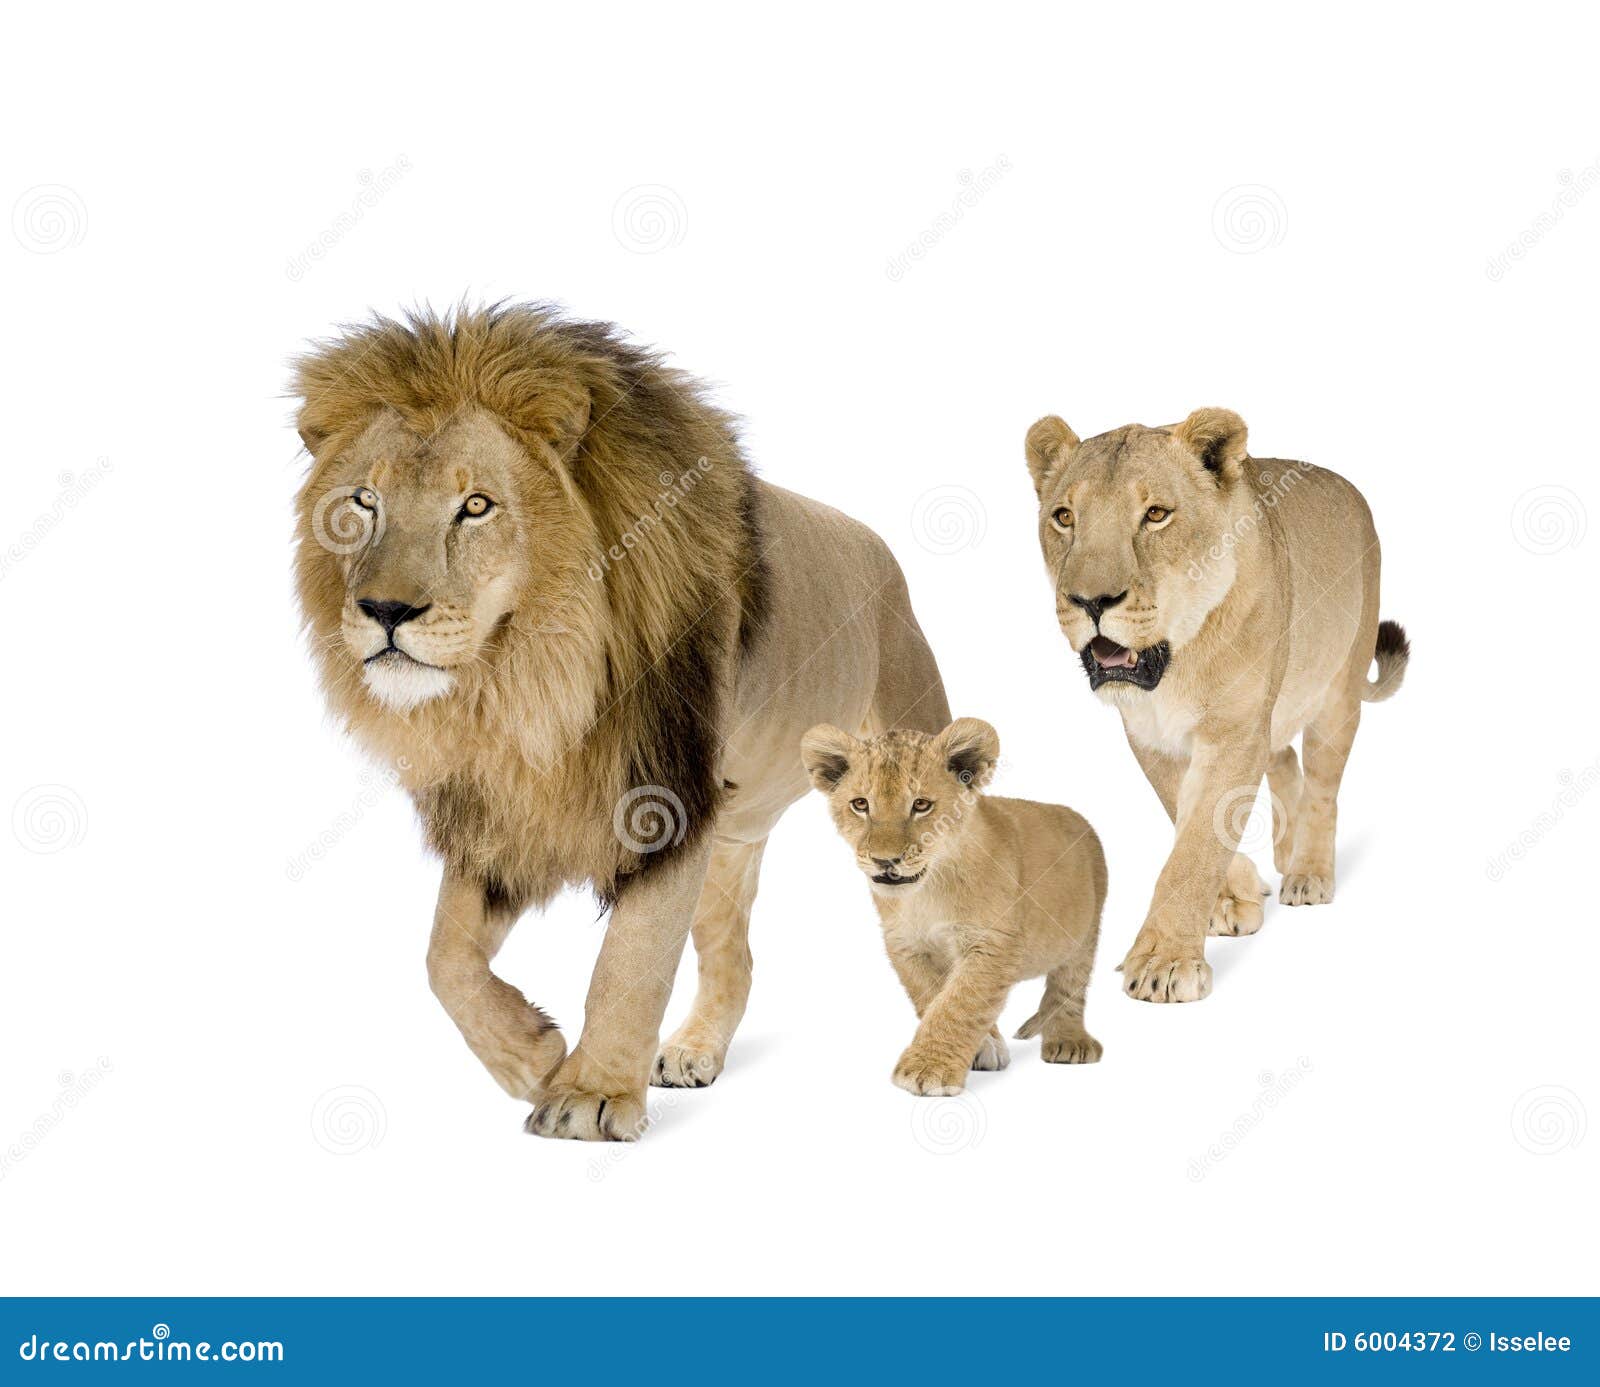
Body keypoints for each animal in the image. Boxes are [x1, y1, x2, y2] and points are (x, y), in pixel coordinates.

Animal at [292, 303, 949, 1140]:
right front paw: (532, 1056)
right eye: (363, 502)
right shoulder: (501, 811)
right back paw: (695, 1050)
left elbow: (629, 962)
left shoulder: (666, 796)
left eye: (476, 506)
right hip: (732, 835)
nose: (384, 610)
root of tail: (877, 544)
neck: (529, 685)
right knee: (734, 957)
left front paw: (591, 1093)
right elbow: (443, 956)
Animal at [801, 718, 1104, 1094]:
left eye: (920, 805)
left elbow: (960, 1003)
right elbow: (934, 998)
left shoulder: (992, 943)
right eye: (860, 804)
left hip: (1087, 930)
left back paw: (1068, 1041)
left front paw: (927, 1069)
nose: (885, 861)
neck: (929, 890)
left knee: (1070, 983)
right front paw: (984, 1047)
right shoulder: (905, 946)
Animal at [1024, 408, 1409, 1003]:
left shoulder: (1234, 732)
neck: (1176, 662)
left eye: (1156, 514)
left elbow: (1199, 841)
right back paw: (1283, 854)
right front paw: (1232, 899)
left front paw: (1164, 962)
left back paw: (1308, 872)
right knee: (1284, 760)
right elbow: (1185, 818)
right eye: (1064, 517)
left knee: (1323, 787)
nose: (1090, 601)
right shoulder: (1150, 735)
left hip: (1339, 692)